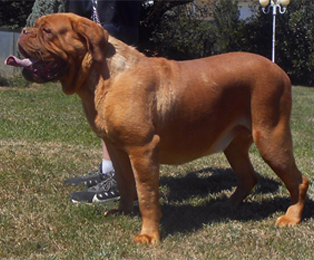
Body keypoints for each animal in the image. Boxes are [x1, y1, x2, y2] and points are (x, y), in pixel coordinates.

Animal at [4, 13, 310, 246]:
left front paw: (149, 235)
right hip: (234, 145)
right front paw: (122, 212)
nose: (24, 29)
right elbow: (125, 184)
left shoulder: (143, 150)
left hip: (271, 138)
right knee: (249, 177)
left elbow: (146, 195)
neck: (102, 77)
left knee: (299, 181)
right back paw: (227, 205)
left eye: (47, 31)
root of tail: (279, 69)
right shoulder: (116, 148)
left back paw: (291, 217)